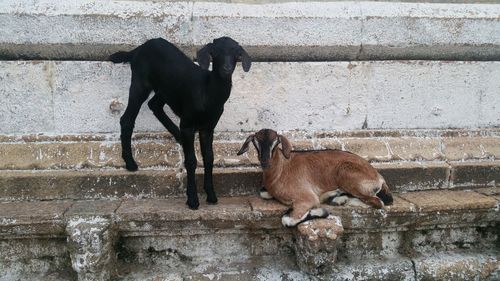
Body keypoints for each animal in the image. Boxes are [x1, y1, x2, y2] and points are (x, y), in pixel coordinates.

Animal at [109, 36, 250, 208]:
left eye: (237, 54)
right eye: (215, 53)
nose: (227, 69)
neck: (207, 91)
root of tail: (139, 48)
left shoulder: (208, 128)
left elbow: (209, 158)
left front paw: (211, 195)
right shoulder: (188, 125)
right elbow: (191, 161)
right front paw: (192, 200)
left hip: (165, 89)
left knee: (154, 105)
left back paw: (177, 135)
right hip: (140, 83)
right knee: (127, 119)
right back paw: (130, 163)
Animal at [238, 128, 394, 226]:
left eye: (276, 143)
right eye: (255, 143)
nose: (265, 162)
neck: (281, 169)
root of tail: (378, 176)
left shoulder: (306, 198)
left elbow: (287, 220)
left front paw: (320, 211)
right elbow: (264, 193)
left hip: (348, 176)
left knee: (378, 202)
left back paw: (339, 199)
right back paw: (337, 197)